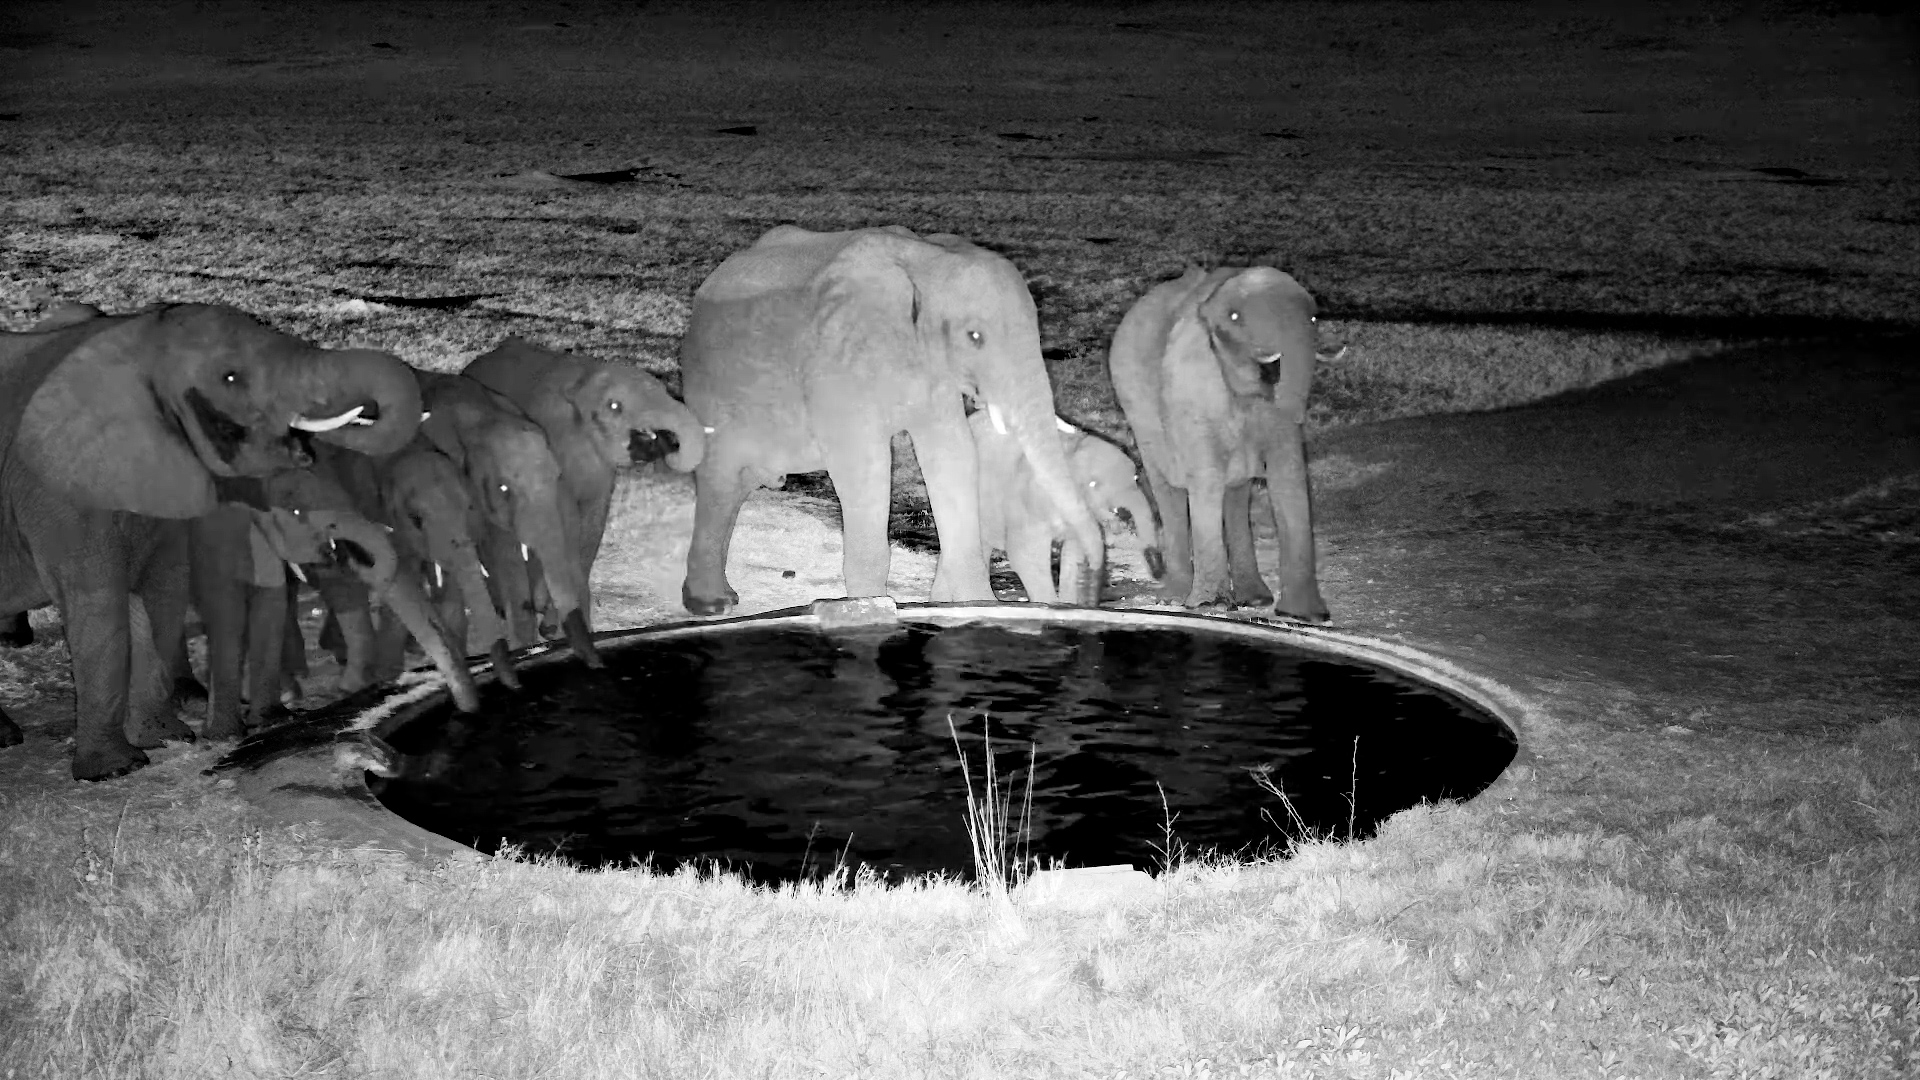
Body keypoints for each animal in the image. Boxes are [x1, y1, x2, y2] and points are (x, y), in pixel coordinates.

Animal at [0, 302, 423, 779]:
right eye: (231, 377)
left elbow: (163, 592)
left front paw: (167, 739)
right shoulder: (58, 485)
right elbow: (99, 600)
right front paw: (117, 770)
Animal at [461, 336, 707, 629]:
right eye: (614, 406)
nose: (667, 441)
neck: (584, 376)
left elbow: (593, 522)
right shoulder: (553, 445)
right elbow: (568, 524)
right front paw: (555, 627)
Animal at [679, 224, 1103, 615]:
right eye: (974, 336)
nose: (1093, 571)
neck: (927, 260)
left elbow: (953, 454)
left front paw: (977, 607)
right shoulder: (836, 361)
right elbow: (865, 465)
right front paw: (868, 608)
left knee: (740, 482)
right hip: (710, 382)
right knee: (720, 477)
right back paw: (710, 605)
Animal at [971, 411, 1163, 604]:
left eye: (1136, 478)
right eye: (1093, 484)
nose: (1158, 572)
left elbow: (1073, 553)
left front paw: (1067, 603)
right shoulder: (1027, 501)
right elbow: (1026, 554)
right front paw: (1049, 605)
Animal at [1108, 266, 1330, 621]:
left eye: (1313, 318)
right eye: (1235, 317)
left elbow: (1288, 471)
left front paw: (1306, 616)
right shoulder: (1193, 385)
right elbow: (1208, 475)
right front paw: (1209, 605)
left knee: (1236, 493)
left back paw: (1255, 599)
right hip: (1137, 408)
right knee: (1167, 485)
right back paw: (1177, 596)